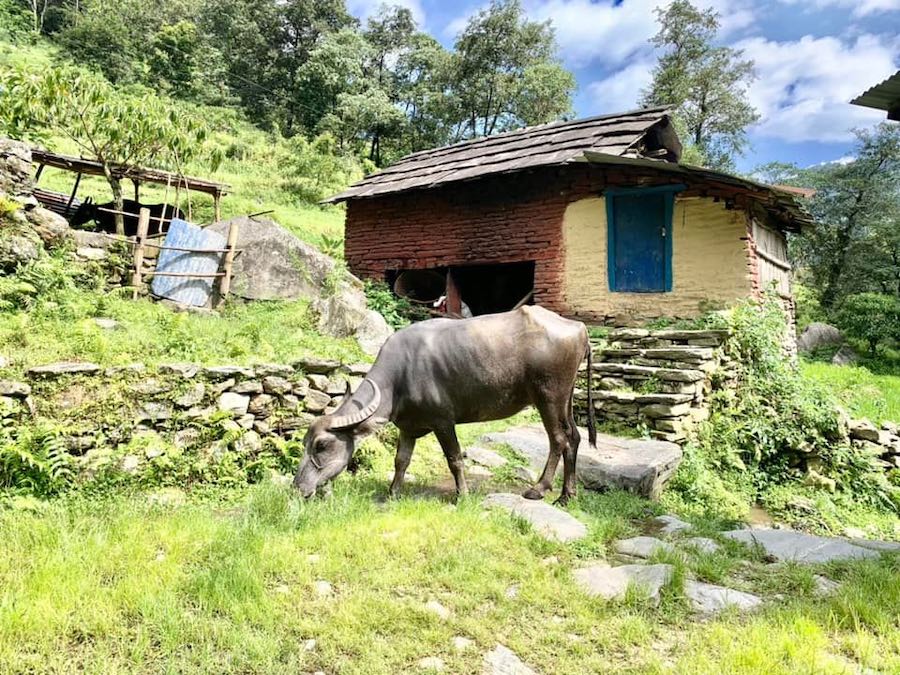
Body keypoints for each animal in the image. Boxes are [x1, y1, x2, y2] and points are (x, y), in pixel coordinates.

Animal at [292, 306, 596, 508]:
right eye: (305, 443)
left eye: (321, 445)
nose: (298, 487)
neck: (400, 376)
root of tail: (579, 328)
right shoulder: (408, 428)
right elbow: (401, 460)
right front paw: (392, 492)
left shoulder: (443, 422)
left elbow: (454, 459)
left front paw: (462, 495)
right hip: (566, 399)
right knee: (574, 437)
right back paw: (567, 495)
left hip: (549, 397)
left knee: (558, 439)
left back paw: (539, 489)